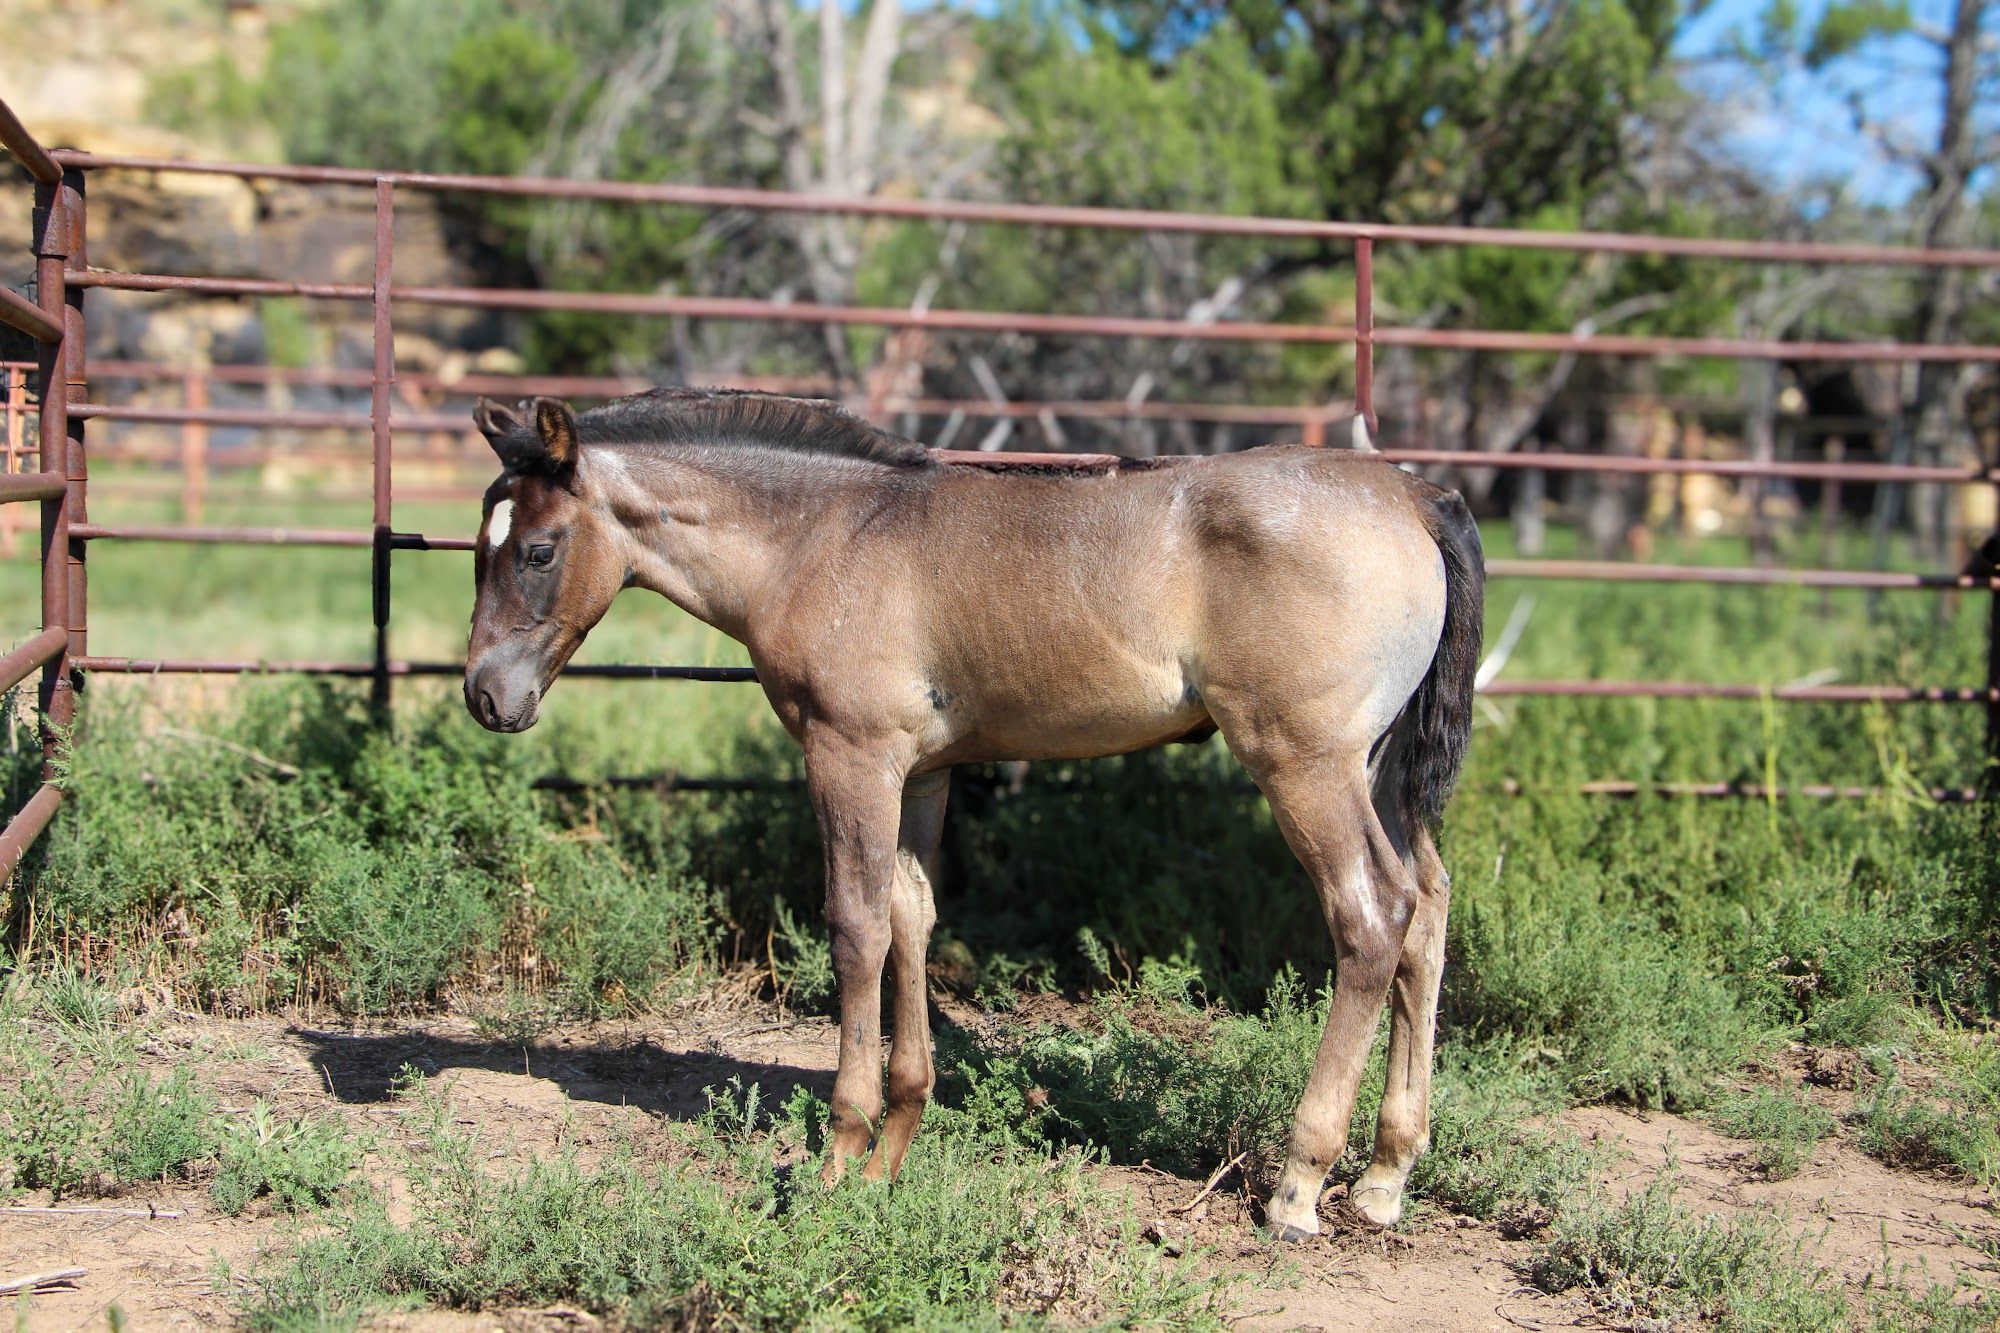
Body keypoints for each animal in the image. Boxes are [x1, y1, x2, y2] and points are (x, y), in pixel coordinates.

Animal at [462, 387, 1482, 1238]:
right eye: (479, 546)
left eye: (539, 550)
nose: (485, 695)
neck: (822, 535)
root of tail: (1415, 495)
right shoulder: (920, 774)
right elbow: (913, 917)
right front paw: (895, 1146)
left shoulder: (850, 755)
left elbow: (856, 927)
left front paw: (840, 1154)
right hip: (1377, 768)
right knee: (1428, 907)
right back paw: (1386, 1176)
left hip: (1303, 763)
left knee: (1372, 914)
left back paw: (1299, 1184)